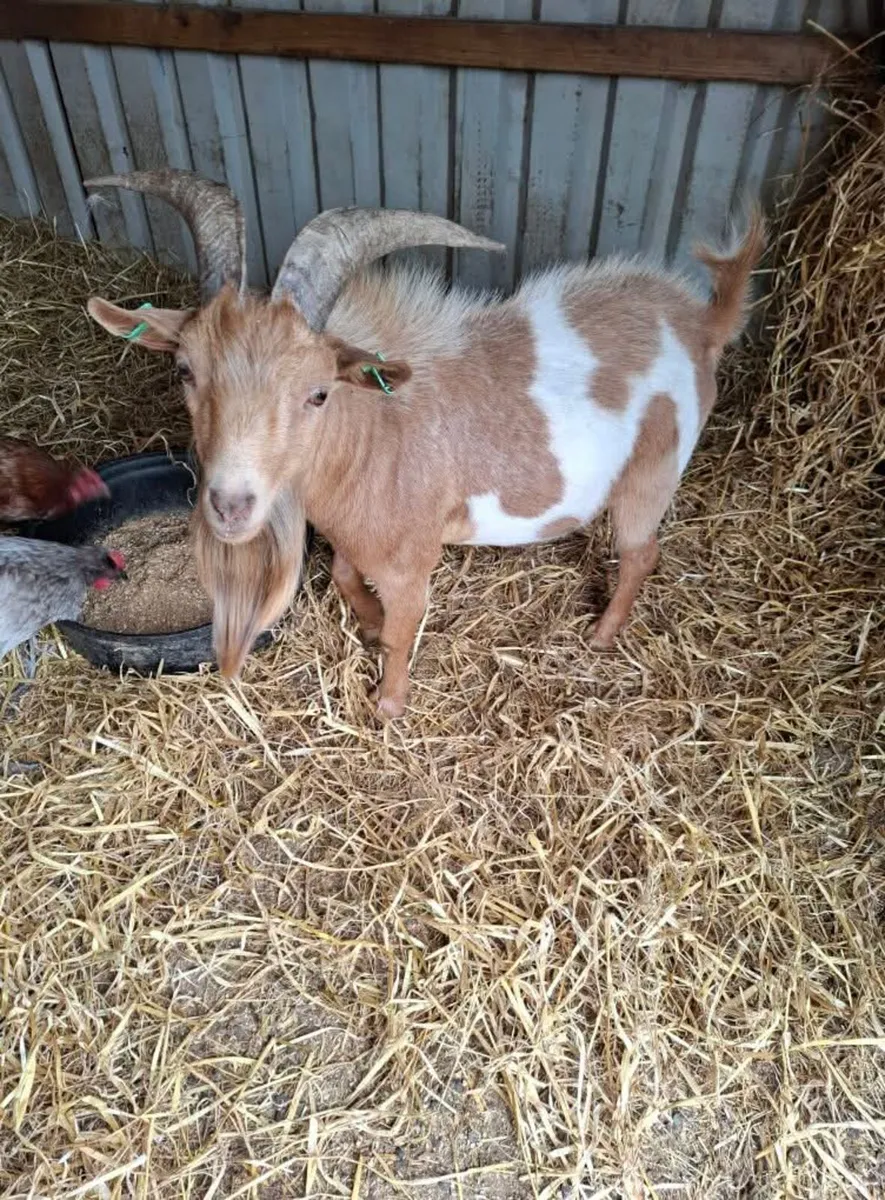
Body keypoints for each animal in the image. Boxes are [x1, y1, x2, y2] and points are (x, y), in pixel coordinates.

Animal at [86, 170, 765, 719]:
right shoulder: (354, 534)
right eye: (185, 371)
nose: (230, 505)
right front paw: (365, 622)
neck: (372, 434)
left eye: (318, 393)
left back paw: (601, 634)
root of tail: (700, 321)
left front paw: (388, 705)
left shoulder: (412, 562)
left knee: (641, 552)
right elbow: (343, 574)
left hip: (653, 468)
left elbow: (401, 629)